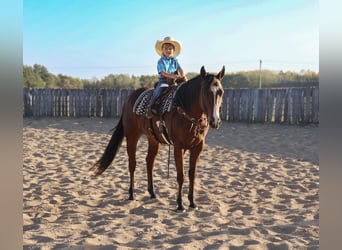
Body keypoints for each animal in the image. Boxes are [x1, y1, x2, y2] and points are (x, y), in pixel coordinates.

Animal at [89, 66, 226, 211]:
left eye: (221, 92)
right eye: (206, 91)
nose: (215, 121)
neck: (186, 112)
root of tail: (129, 99)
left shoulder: (198, 147)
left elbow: (192, 174)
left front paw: (192, 202)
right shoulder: (179, 147)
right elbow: (181, 175)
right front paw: (180, 204)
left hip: (153, 140)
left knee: (149, 162)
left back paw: (152, 193)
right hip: (132, 136)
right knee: (132, 164)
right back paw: (132, 194)